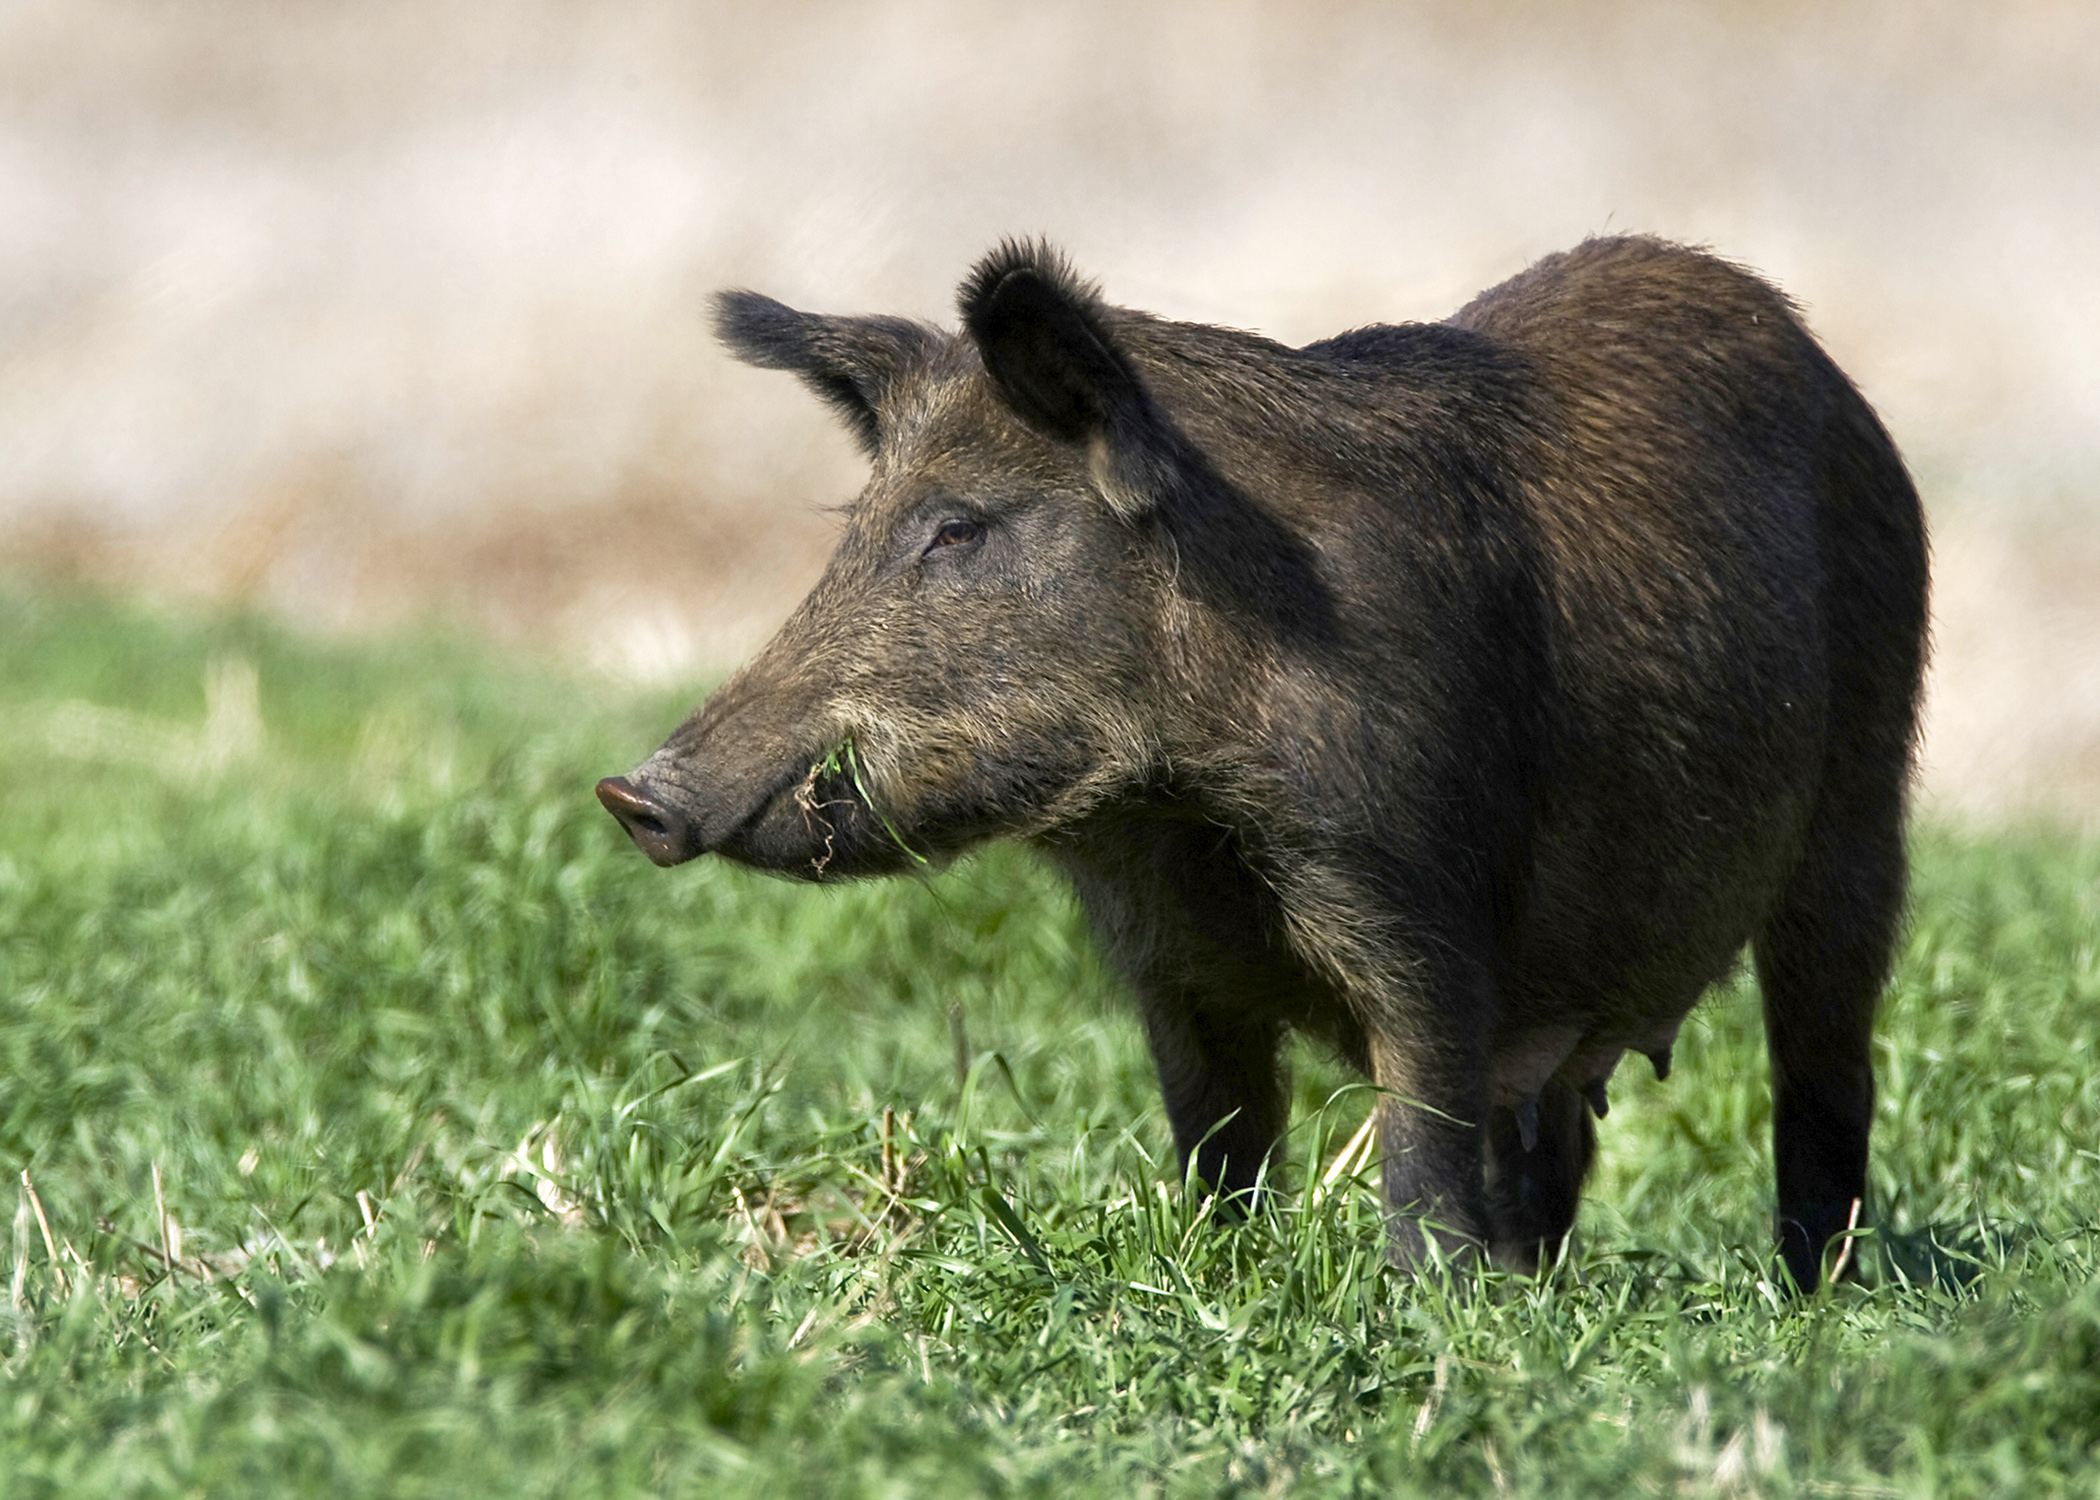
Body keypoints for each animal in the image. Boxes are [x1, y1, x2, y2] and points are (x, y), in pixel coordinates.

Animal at [597, 236, 1927, 1290]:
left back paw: (1812, 1289)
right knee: (1555, 1131)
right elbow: (1216, 1133)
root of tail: (1830, 374)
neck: (1180, 815)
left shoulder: (1411, 881)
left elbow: (1420, 1114)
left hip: (1866, 797)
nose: (632, 793)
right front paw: (1219, 1268)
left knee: (1825, 1059)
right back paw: (1543, 1279)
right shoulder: (1164, 957)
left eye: (958, 528)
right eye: (855, 526)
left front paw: (1428, 1305)